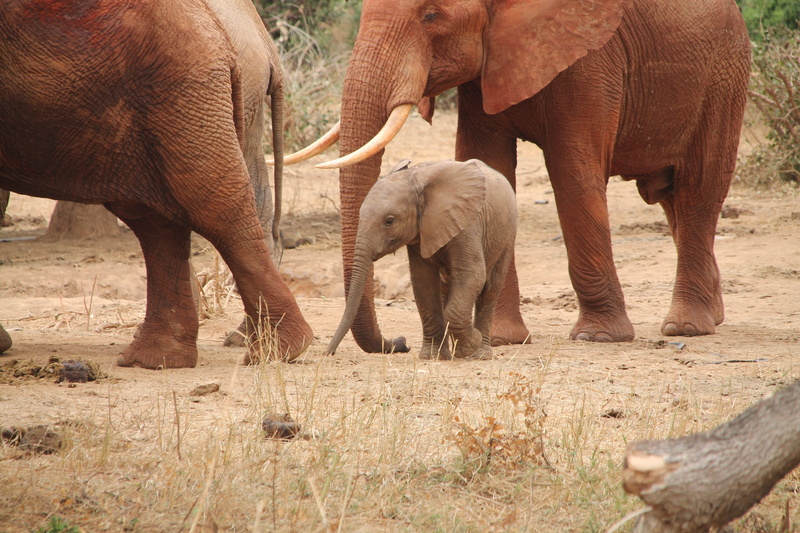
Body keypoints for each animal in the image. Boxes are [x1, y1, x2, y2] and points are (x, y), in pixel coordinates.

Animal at [0, 0, 313, 367]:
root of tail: (264, 45)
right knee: (158, 218)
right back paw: (157, 358)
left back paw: (273, 350)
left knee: (213, 205)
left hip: (180, 90)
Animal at [327, 159, 517, 360]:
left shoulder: (467, 224)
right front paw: (431, 356)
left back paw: (480, 354)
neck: (415, 180)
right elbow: (423, 282)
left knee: (490, 288)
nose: (329, 352)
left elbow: (472, 274)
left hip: (506, 235)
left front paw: (469, 346)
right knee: (446, 287)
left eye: (389, 221)